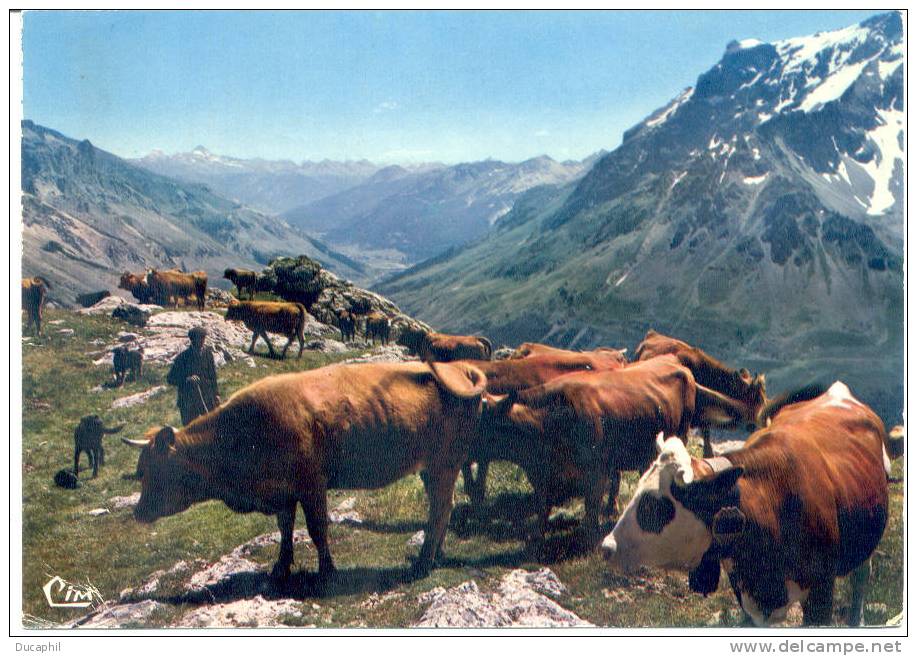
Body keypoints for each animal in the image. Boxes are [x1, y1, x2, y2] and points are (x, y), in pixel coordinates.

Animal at [125, 362, 490, 580]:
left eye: (154, 470)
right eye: (140, 470)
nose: (138, 513)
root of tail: (458, 368)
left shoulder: (312, 484)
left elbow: (316, 529)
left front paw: (327, 571)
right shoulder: (282, 490)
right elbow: (285, 528)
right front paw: (280, 567)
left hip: (445, 462)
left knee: (440, 509)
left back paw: (423, 562)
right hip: (432, 467)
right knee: (444, 507)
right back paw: (437, 554)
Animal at [472, 356, 696, 540]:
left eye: (483, 424)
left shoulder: (596, 470)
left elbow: (591, 504)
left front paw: (590, 536)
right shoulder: (544, 474)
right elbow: (543, 503)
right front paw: (537, 535)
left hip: (681, 436)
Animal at [600, 382, 900, 628]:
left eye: (653, 506)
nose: (606, 547)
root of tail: (836, 392)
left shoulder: (821, 595)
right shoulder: (746, 594)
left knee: (861, 576)